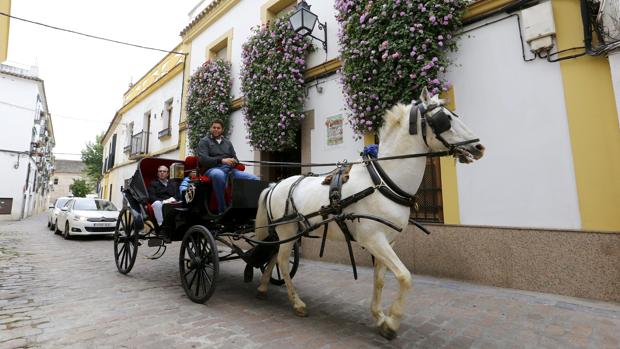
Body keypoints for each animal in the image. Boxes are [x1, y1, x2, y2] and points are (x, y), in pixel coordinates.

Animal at [252, 88, 484, 338]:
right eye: (445, 119)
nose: (479, 147)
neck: (382, 182)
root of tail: (275, 185)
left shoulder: (388, 241)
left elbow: (380, 280)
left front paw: (380, 317)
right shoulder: (373, 239)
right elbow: (405, 276)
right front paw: (392, 322)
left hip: (288, 232)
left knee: (273, 254)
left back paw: (263, 286)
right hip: (287, 230)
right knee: (283, 262)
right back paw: (297, 303)